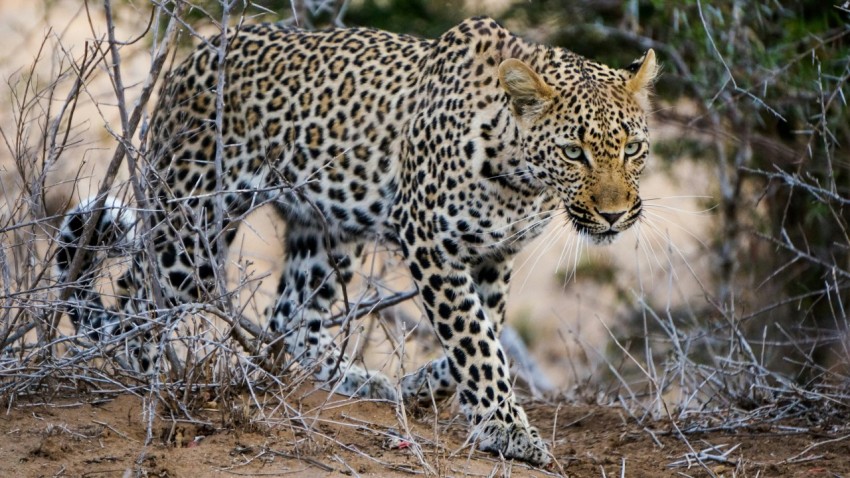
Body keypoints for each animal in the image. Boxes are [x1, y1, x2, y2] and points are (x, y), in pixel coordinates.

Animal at [56, 16, 660, 464]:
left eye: (632, 148)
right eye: (574, 152)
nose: (614, 216)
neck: (521, 180)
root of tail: (190, 59)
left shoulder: (493, 254)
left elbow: (485, 332)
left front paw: (424, 386)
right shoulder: (430, 241)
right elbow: (476, 341)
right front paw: (506, 429)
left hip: (327, 233)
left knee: (290, 318)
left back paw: (358, 381)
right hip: (192, 224)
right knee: (136, 296)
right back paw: (147, 375)